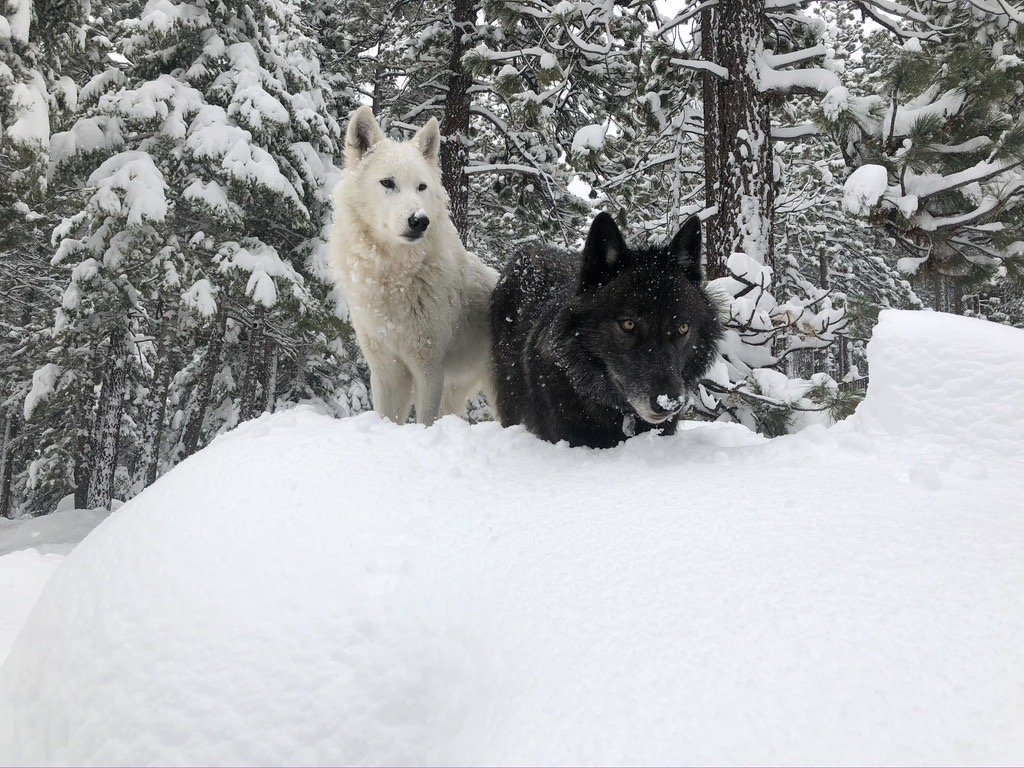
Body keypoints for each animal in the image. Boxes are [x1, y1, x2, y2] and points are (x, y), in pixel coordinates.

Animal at [329, 106, 498, 425]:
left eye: (421, 187)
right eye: (387, 182)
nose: (419, 220)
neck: (394, 278)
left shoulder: (429, 368)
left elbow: (424, 422)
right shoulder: (386, 370)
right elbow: (388, 417)